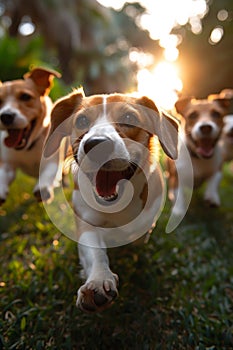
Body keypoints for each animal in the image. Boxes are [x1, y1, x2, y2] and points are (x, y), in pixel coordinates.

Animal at [0, 66, 62, 204]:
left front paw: (43, 187)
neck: (29, 147)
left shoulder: (52, 160)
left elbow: (48, 172)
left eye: (25, 96)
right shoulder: (7, 163)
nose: (6, 116)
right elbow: (3, 174)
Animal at [44, 89, 178, 312]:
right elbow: (95, 253)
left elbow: (141, 230)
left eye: (129, 118)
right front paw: (98, 280)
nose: (96, 144)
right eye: (81, 120)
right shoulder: (86, 222)